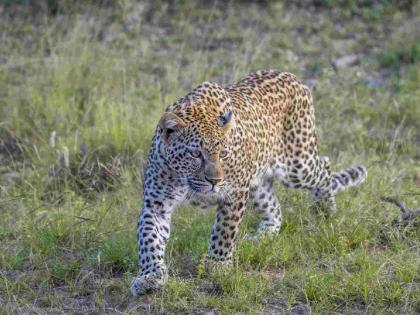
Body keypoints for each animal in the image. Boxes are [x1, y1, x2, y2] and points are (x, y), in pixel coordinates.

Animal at [130, 69, 366, 296]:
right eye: (195, 154)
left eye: (223, 154)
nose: (215, 181)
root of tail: (295, 78)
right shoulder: (156, 204)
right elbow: (148, 239)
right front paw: (150, 276)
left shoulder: (234, 192)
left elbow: (224, 231)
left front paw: (217, 264)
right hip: (258, 183)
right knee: (275, 209)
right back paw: (262, 236)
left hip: (297, 165)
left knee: (324, 165)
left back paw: (324, 209)